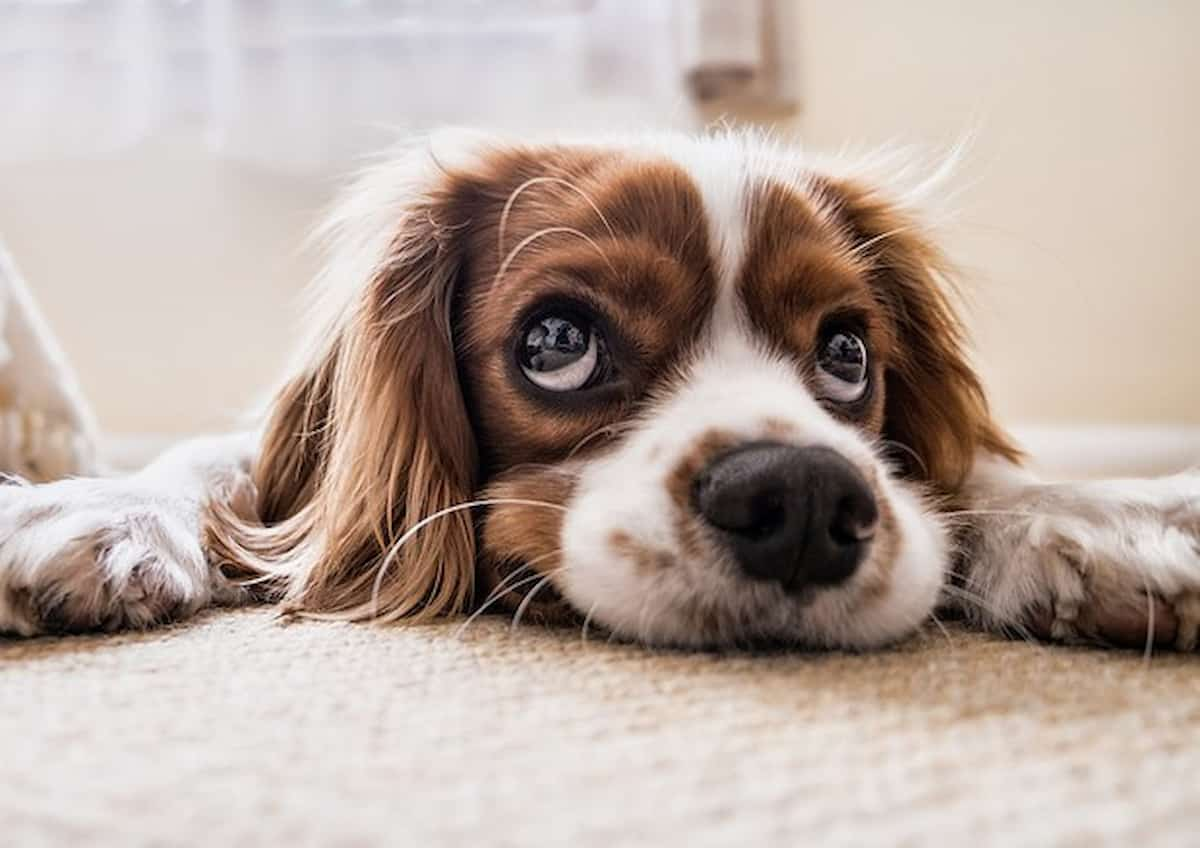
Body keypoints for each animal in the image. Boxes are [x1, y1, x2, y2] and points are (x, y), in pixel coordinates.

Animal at [2, 130, 1200, 652]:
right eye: (558, 342)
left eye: (849, 353)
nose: (805, 499)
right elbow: (218, 465)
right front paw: (89, 510)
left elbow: (974, 476)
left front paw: (1101, 520)